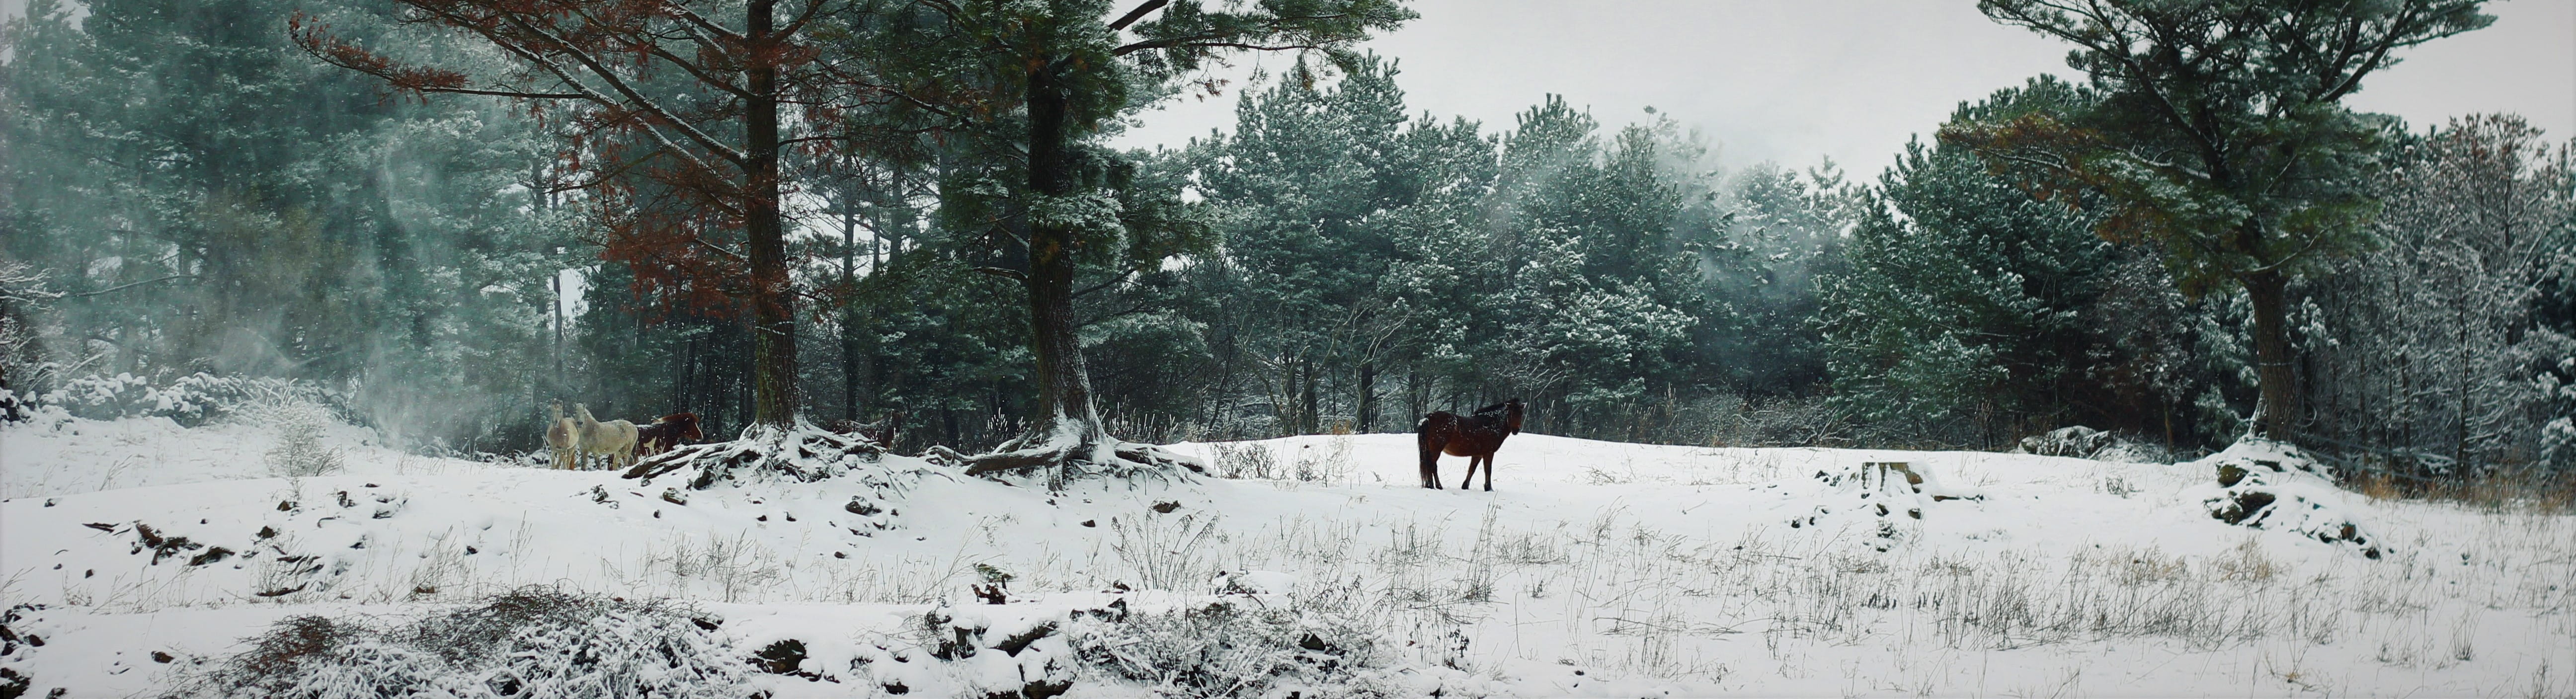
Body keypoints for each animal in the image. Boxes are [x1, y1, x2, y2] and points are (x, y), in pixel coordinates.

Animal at [572, 403, 640, 470]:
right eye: (575, 412)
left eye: (584, 413)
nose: (580, 423)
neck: (591, 430)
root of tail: (635, 428)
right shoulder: (583, 450)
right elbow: (583, 465)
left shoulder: (595, 450)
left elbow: (598, 464)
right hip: (619, 450)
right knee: (616, 462)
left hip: (627, 449)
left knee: (626, 461)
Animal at [1415, 398, 1525, 491]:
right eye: (1510, 413)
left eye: (1521, 413)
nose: (1516, 430)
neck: (1491, 424)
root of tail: (1428, 418)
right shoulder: (1489, 453)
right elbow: (1488, 470)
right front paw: (1489, 488)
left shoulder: (1478, 454)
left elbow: (1472, 469)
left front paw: (1465, 486)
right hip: (1436, 449)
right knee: (1431, 465)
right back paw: (1432, 486)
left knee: (1432, 466)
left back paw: (1435, 486)